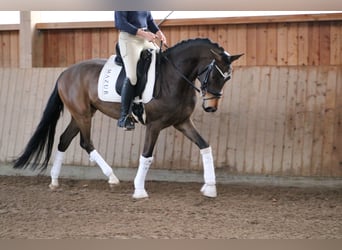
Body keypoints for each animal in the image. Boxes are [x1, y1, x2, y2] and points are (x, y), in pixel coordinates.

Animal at [13, 38, 243, 199]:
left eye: (228, 78)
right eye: (215, 74)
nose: (210, 107)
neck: (174, 77)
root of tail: (64, 73)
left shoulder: (182, 122)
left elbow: (205, 146)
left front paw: (210, 187)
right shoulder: (154, 125)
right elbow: (147, 156)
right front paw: (139, 190)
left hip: (81, 114)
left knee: (64, 140)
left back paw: (55, 180)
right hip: (83, 115)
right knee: (86, 143)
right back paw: (112, 178)